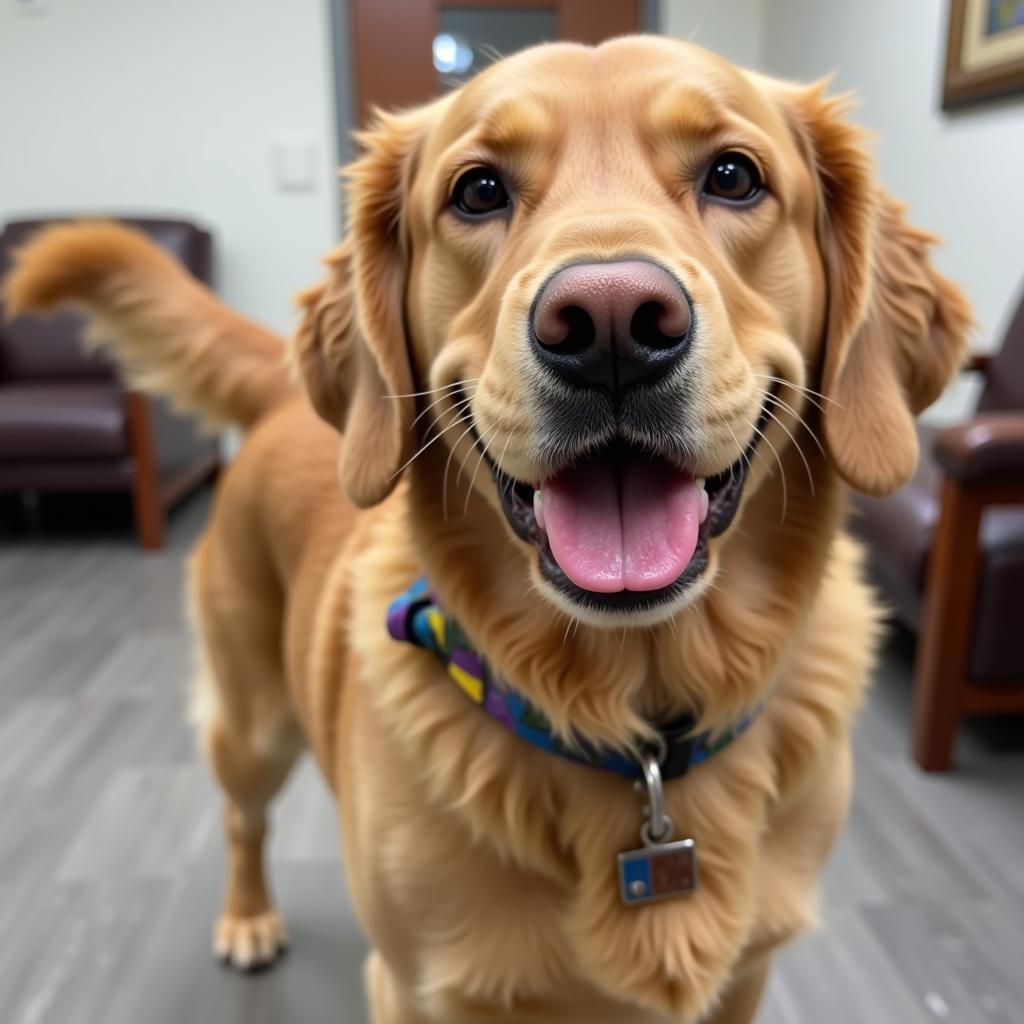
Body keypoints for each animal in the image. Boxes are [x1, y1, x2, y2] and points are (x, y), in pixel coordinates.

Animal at [6, 36, 966, 1024]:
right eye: (478, 191)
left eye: (734, 176)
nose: (611, 323)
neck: (637, 727)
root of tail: (281, 397)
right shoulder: (413, 988)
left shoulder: (748, 977)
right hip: (253, 720)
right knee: (243, 817)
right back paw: (247, 919)